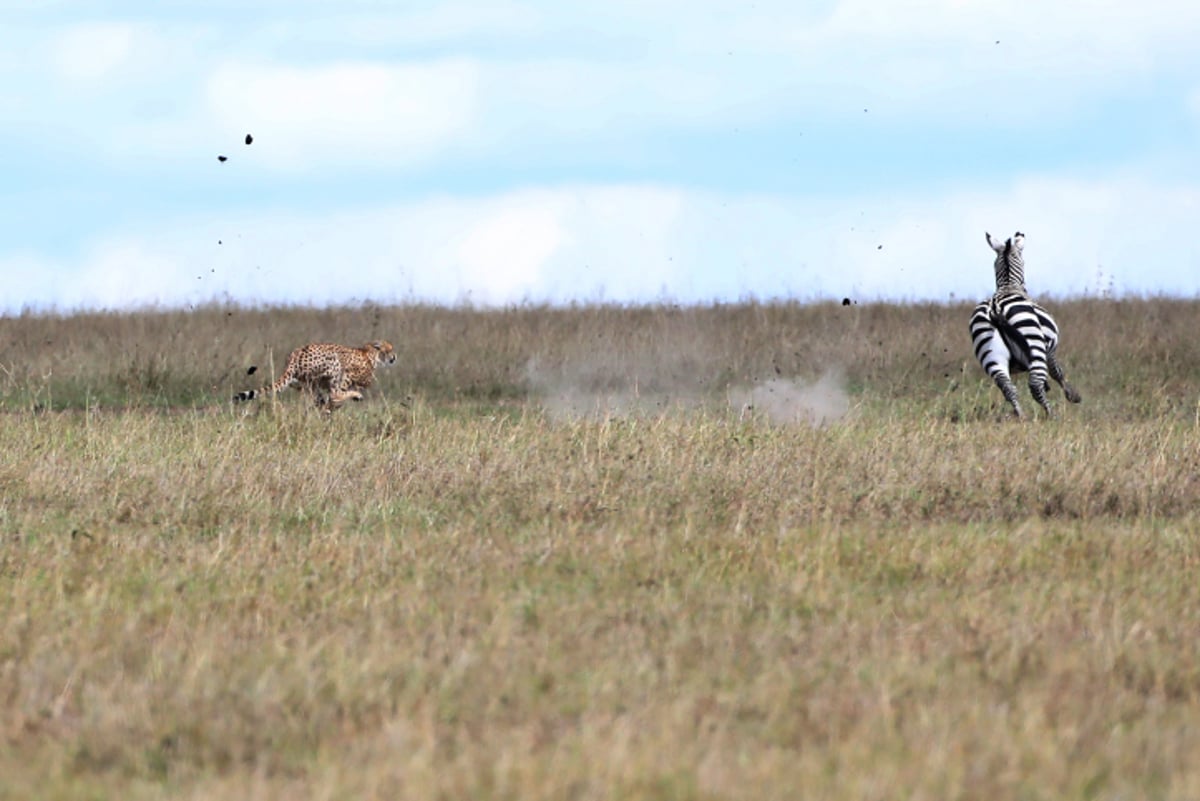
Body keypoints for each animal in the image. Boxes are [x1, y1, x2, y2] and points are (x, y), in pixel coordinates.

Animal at [234, 340, 398, 412]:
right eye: (389, 349)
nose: (394, 357)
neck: (371, 353)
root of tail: (294, 357)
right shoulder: (346, 376)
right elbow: (338, 393)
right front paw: (354, 395)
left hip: (304, 384)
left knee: (319, 399)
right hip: (333, 362)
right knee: (333, 394)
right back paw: (353, 397)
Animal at [969, 231, 1084, 419]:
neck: (1009, 286)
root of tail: (995, 308)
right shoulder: (1049, 350)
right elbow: (1057, 372)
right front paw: (1072, 395)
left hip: (989, 351)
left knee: (1007, 387)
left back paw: (1021, 416)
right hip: (1034, 342)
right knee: (1034, 384)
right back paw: (1052, 416)